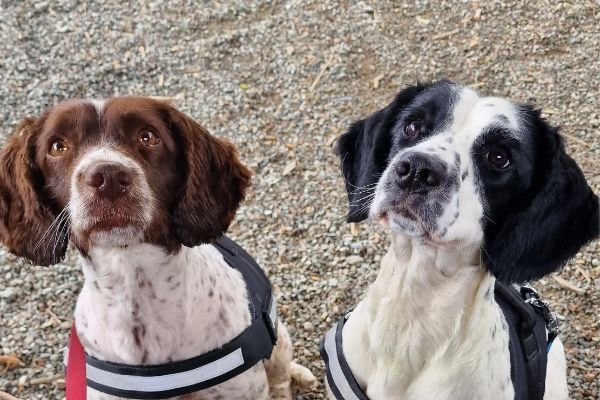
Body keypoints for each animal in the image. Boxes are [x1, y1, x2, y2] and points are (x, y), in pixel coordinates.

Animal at [0, 97, 316, 400]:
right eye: (57, 146)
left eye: (148, 136)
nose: (107, 177)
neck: (134, 288)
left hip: (279, 343)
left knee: (281, 377)